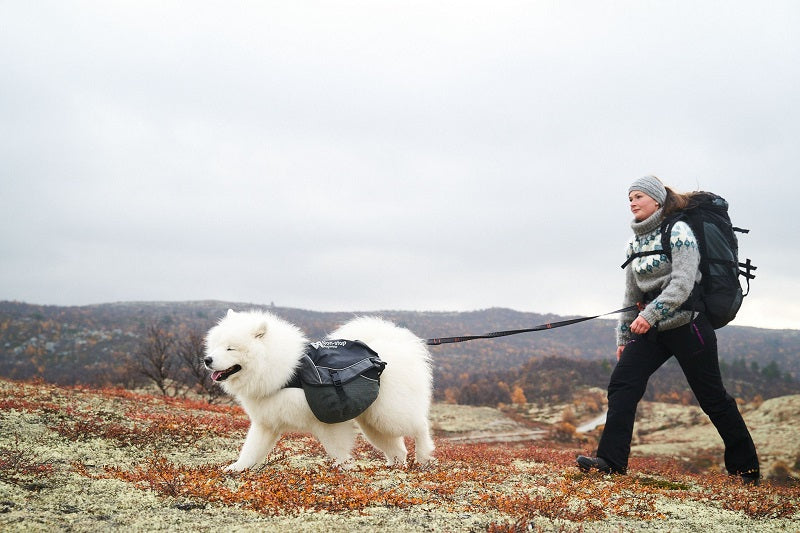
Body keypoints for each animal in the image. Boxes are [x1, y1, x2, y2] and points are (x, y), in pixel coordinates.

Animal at [203, 308, 434, 470]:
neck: (287, 373)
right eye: (216, 345)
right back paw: (395, 466)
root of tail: (392, 347)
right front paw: (235, 468)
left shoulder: (327, 421)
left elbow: (337, 450)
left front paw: (343, 469)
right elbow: (250, 450)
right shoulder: (266, 423)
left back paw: (423, 455)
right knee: (398, 448)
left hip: (389, 414)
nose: (207, 359)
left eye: (231, 348)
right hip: (374, 423)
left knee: (420, 426)